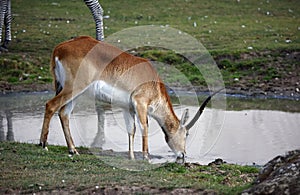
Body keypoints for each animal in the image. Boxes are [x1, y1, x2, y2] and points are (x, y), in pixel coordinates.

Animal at [39, 35, 221, 162]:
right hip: (74, 88)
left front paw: (132, 157)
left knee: (64, 113)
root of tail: (59, 48)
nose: (183, 154)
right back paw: (43, 145)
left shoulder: (127, 108)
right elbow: (144, 127)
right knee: (51, 105)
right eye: (186, 134)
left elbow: (131, 129)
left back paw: (73, 150)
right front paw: (146, 157)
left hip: (74, 93)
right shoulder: (140, 103)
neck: (153, 82)